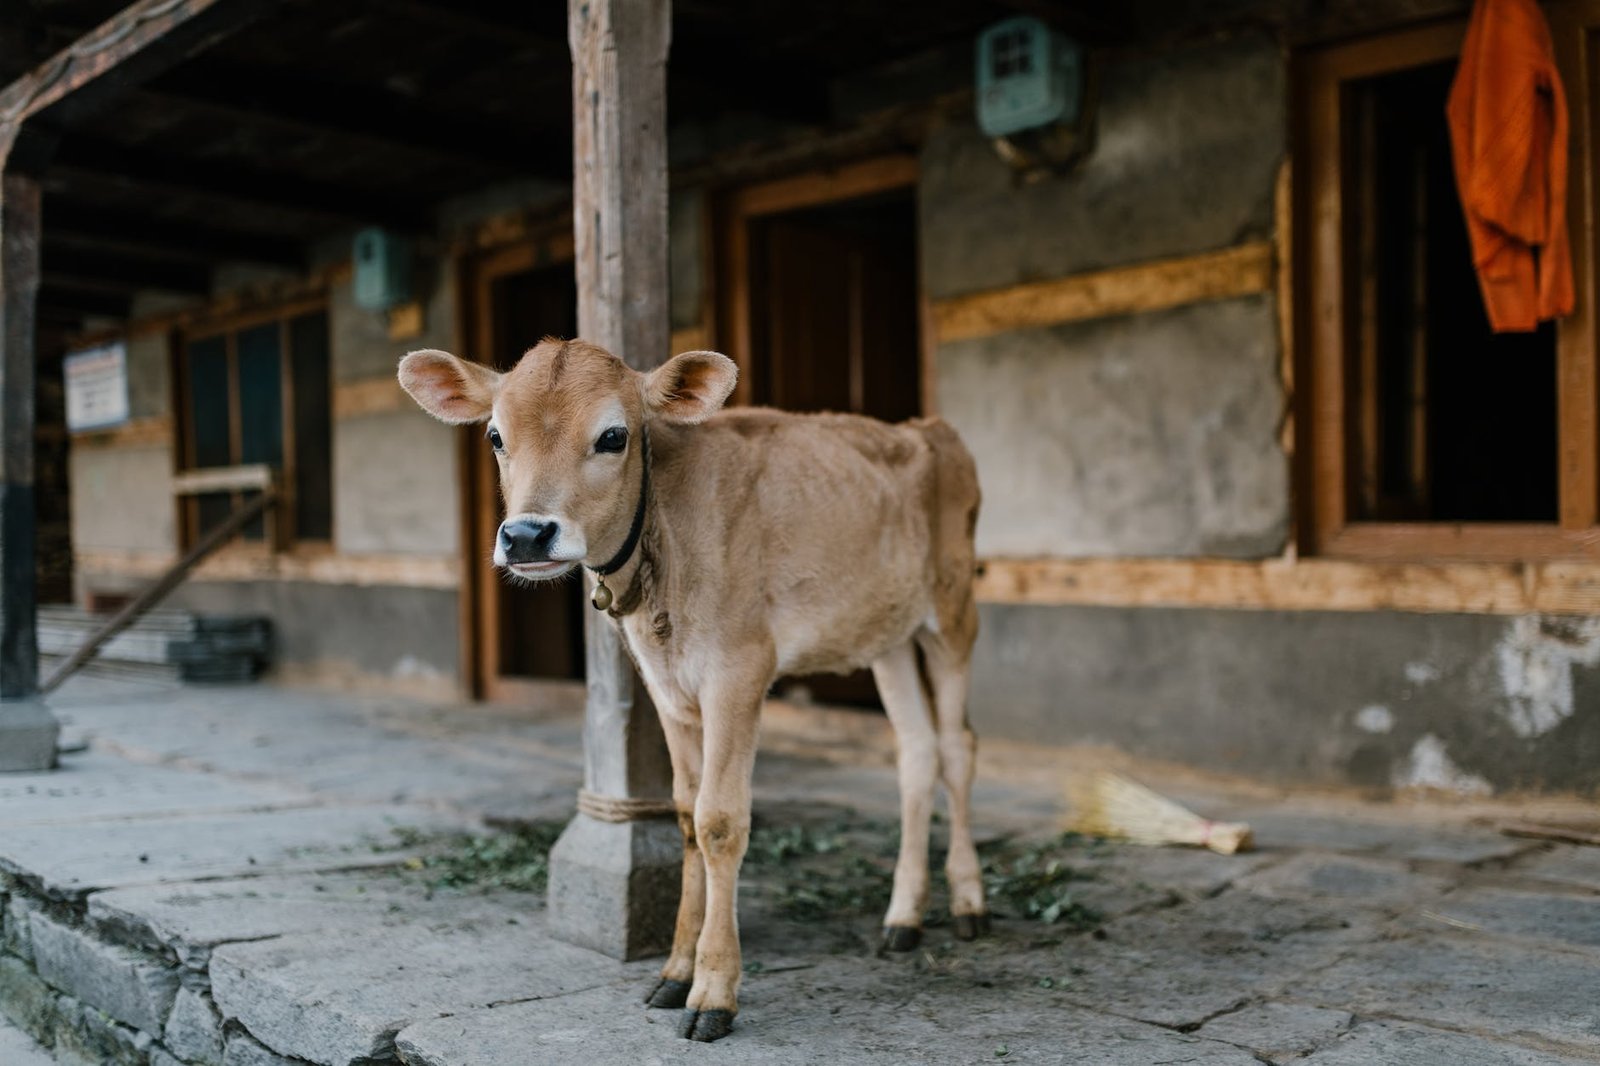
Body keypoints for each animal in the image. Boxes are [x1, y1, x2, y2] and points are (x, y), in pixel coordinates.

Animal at [400, 337, 985, 1037]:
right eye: (494, 435)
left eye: (614, 436)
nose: (526, 535)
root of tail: (927, 428)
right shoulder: (666, 686)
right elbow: (684, 814)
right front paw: (675, 971)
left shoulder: (739, 670)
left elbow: (719, 820)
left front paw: (713, 991)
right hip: (887, 635)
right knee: (916, 751)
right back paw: (903, 917)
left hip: (952, 614)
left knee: (957, 747)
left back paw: (969, 902)